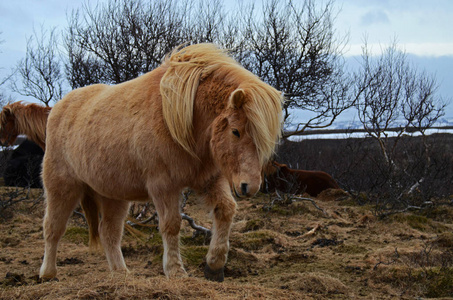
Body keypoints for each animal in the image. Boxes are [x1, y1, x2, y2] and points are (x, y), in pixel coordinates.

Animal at [39, 43, 282, 282]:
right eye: (236, 131)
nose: (250, 186)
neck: (180, 120)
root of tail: (57, 109)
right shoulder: (163, 186)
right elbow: (171, 225)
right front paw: (175, 270)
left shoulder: (208, 180)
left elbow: (226, 210)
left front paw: (214, 265)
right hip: (62, 186)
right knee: (53, 228)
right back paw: (48, 273)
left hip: (113, 195)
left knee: (109, 233)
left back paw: (121, 274)